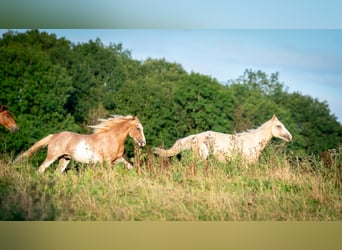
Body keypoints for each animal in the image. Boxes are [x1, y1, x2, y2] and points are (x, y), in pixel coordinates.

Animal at [15, 114, 146, 172]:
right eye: (138, 128)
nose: (143, 143)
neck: (112, 138)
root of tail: (54, 136)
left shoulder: (117, 159)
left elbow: (130, 166)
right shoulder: (108, 162)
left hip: (65, 159)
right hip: (52, 156)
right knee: (41, 168)